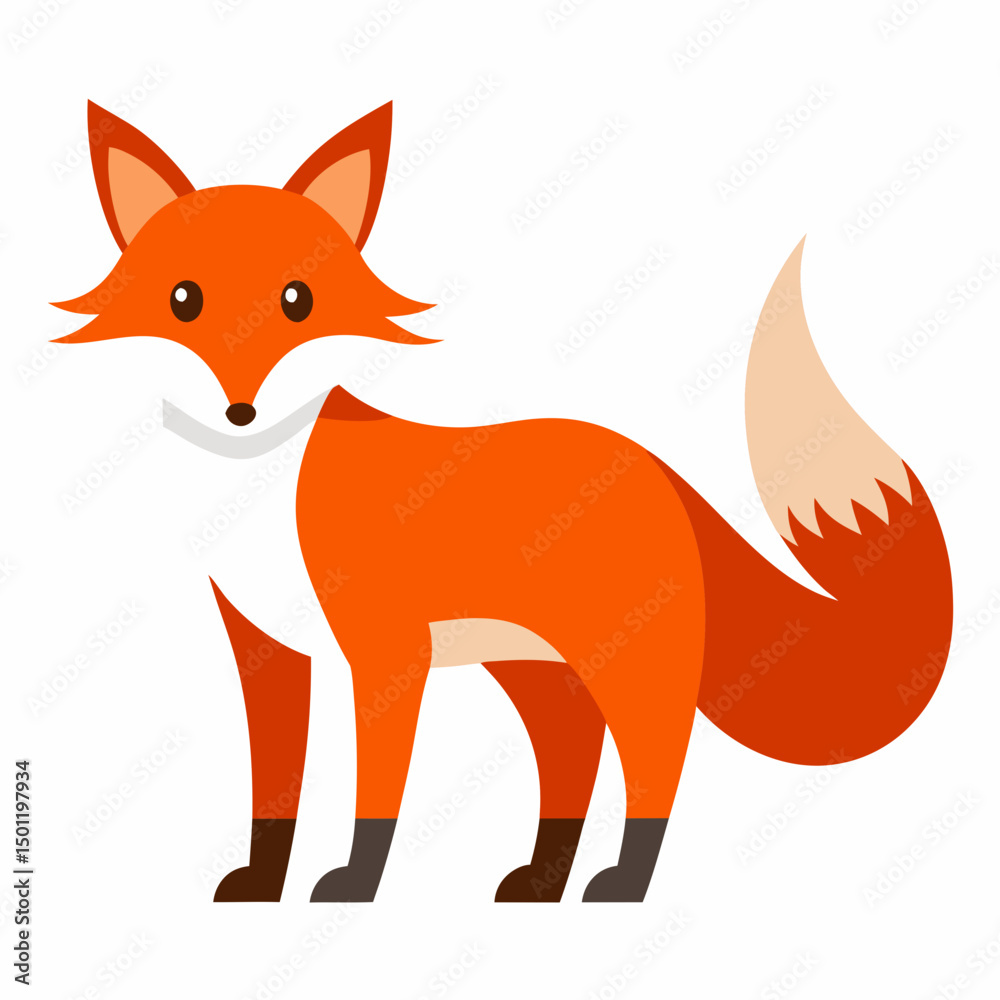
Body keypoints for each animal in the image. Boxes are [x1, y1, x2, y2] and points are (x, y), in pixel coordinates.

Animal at [54, 100, 953, 903]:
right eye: (183, 300)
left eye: (297, 302)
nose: (239, 409)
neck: (259, 490)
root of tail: (654, 464)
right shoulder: (269, 650)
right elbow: (273, 795)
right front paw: (261, 887)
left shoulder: (386, 654)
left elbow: (375, 798)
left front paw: (352, 887)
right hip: (538, 670)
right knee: (573, 761)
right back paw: (543, 882)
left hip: (624, 664)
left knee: (655, 761)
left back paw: (622, 884)